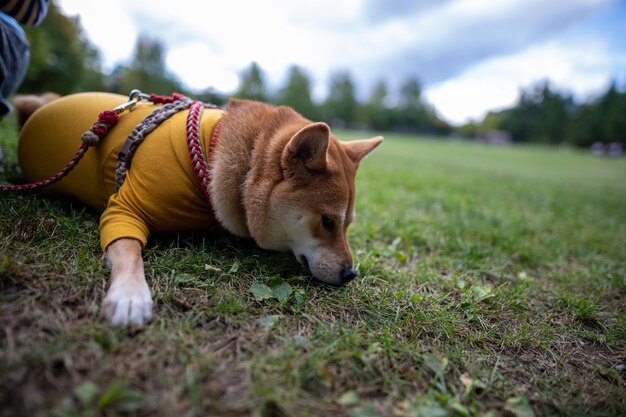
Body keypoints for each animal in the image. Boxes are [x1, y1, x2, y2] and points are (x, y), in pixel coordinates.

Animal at [14, 92, 380, 326]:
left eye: (347, 225)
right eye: (328, 221)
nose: (351, 274)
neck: (214, 148)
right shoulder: (123, 210)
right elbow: (128, 250)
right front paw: (130, 294)